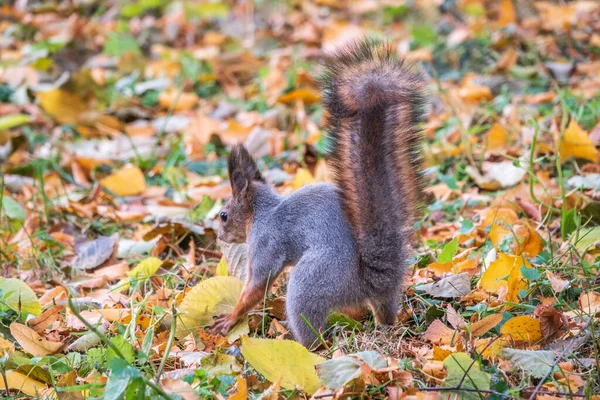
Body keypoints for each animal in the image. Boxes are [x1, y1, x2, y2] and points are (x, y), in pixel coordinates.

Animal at [211, 39, 426, 348]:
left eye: (224, 215)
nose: (219, 236)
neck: (261, 212)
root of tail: (371, 280)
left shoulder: (266, 242)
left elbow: (258, 284)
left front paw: (230, 318)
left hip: (311, 282)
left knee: (313, 335)